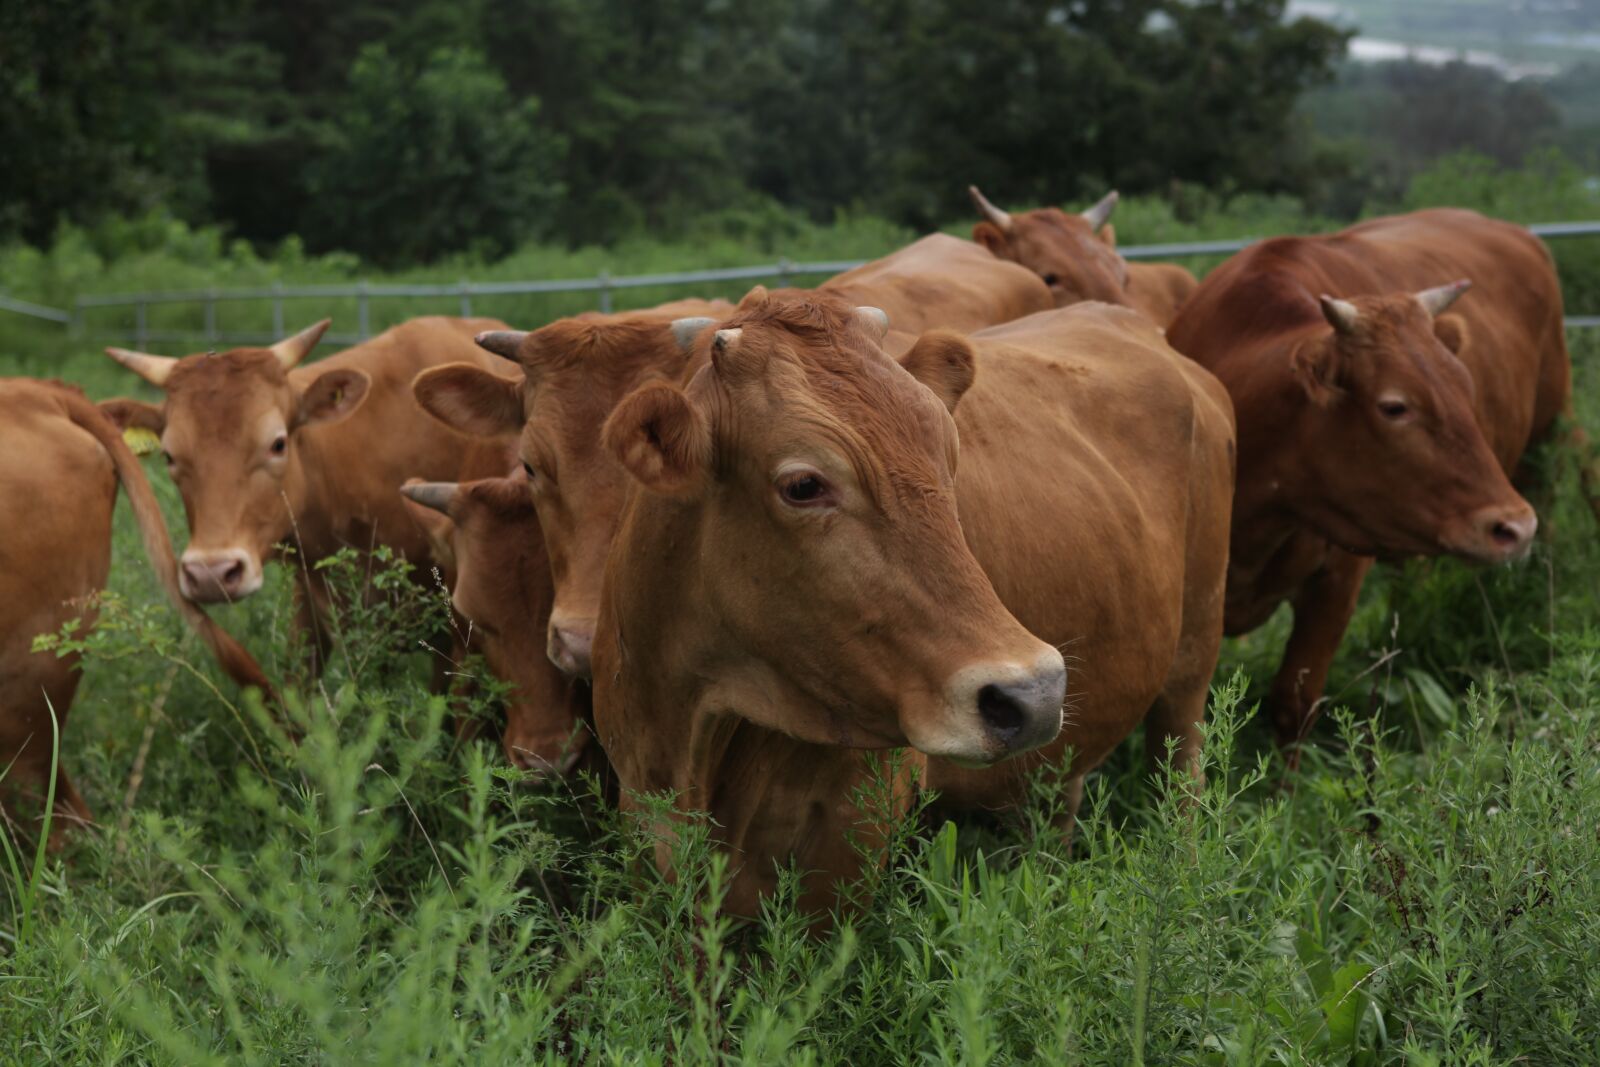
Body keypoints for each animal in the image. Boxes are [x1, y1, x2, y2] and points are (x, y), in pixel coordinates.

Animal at [590, 292, 1235, 917]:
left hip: (1195, 656)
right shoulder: (642, 813)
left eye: (950, 455)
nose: (1035, 693)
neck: (703, 732)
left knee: (1183, 777)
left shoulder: (851, 833)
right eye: (803, 485)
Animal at [1164, 208, 1568, 757]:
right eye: (1394, 406)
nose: (1515, 526)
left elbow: (1294, 704)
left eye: (1465, 387)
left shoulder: (1338, 582)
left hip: (1551, 428)